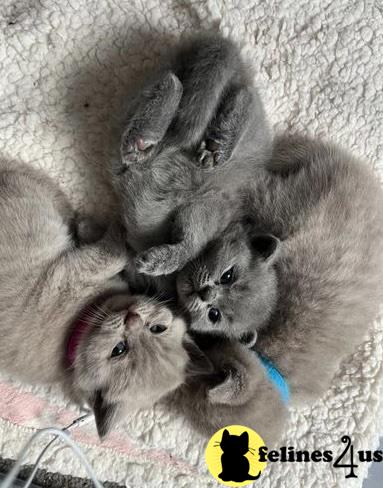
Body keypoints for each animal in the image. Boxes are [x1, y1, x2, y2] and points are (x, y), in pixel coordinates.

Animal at [0, 162, 191, 436]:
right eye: (157, 328)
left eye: (118, 349)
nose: (132, 318)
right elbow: (118, 253)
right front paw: (102, 226)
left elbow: (118, 254)